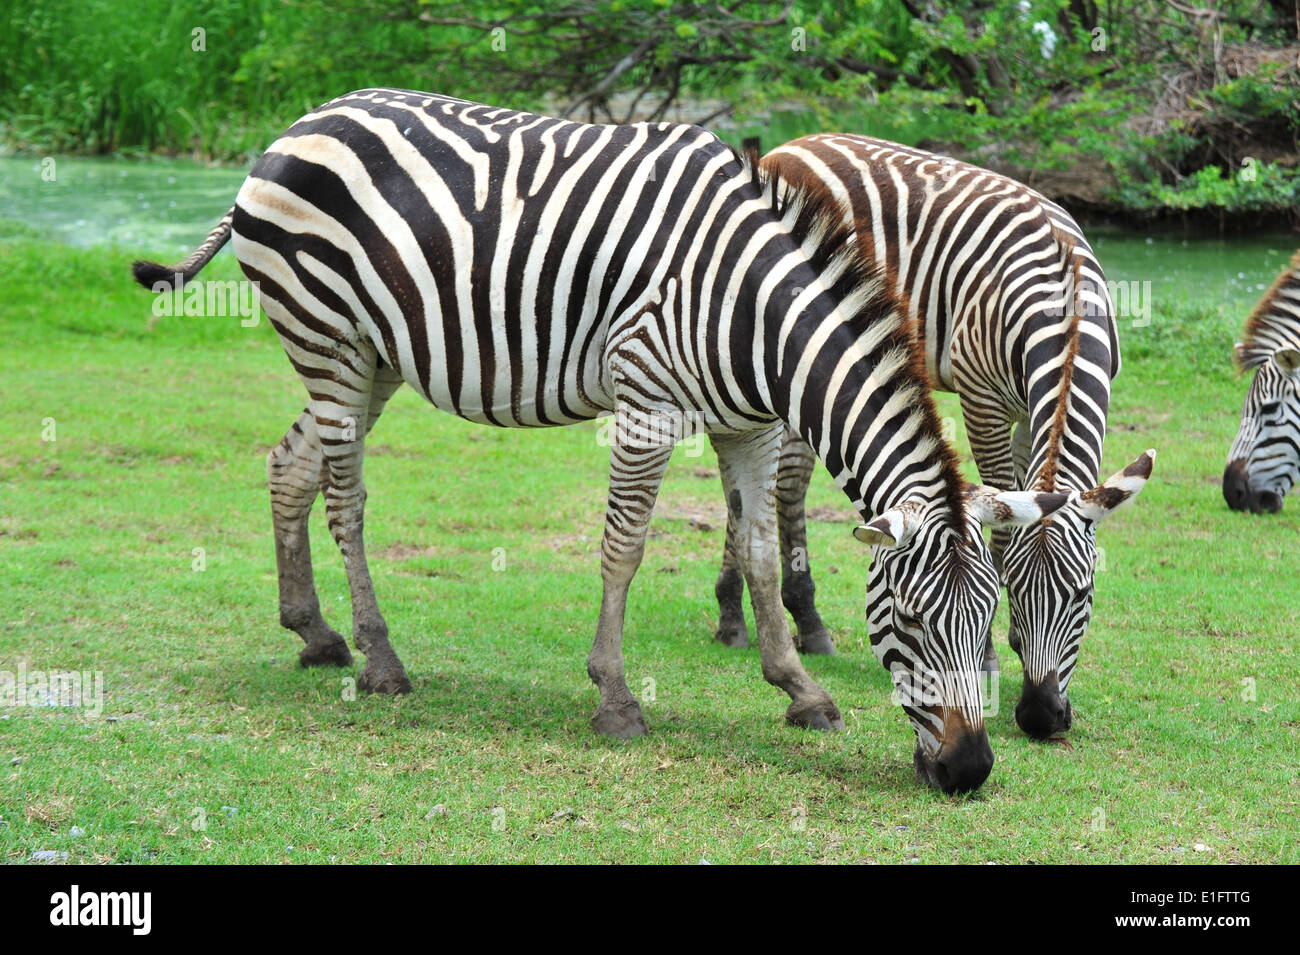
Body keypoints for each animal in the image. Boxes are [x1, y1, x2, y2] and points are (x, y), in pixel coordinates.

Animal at [131, 91, 1071, 789]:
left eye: (992, 619)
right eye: (908, 618)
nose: (971, 769)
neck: (756, 315)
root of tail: (298, 125)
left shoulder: (753, 426)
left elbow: (762, 551)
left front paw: (800, 689)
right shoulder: (645, 401)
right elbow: (625, 548)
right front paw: (616, 698)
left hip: (375, 356)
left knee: (290, 465)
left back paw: (315, 633)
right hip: (328, 339)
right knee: (345, 497)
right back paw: (380, 658)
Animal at [712, 136, 1159, 738]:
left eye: (1083, 595)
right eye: (1011, 590)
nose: (1041, 717)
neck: (1064, 305)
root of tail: (791, 146)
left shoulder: (1027, 411)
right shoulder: (983, 401)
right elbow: (1000, 529)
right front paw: (989, 657)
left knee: (784, 482)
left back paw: (789, 622)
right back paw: (743, 618)